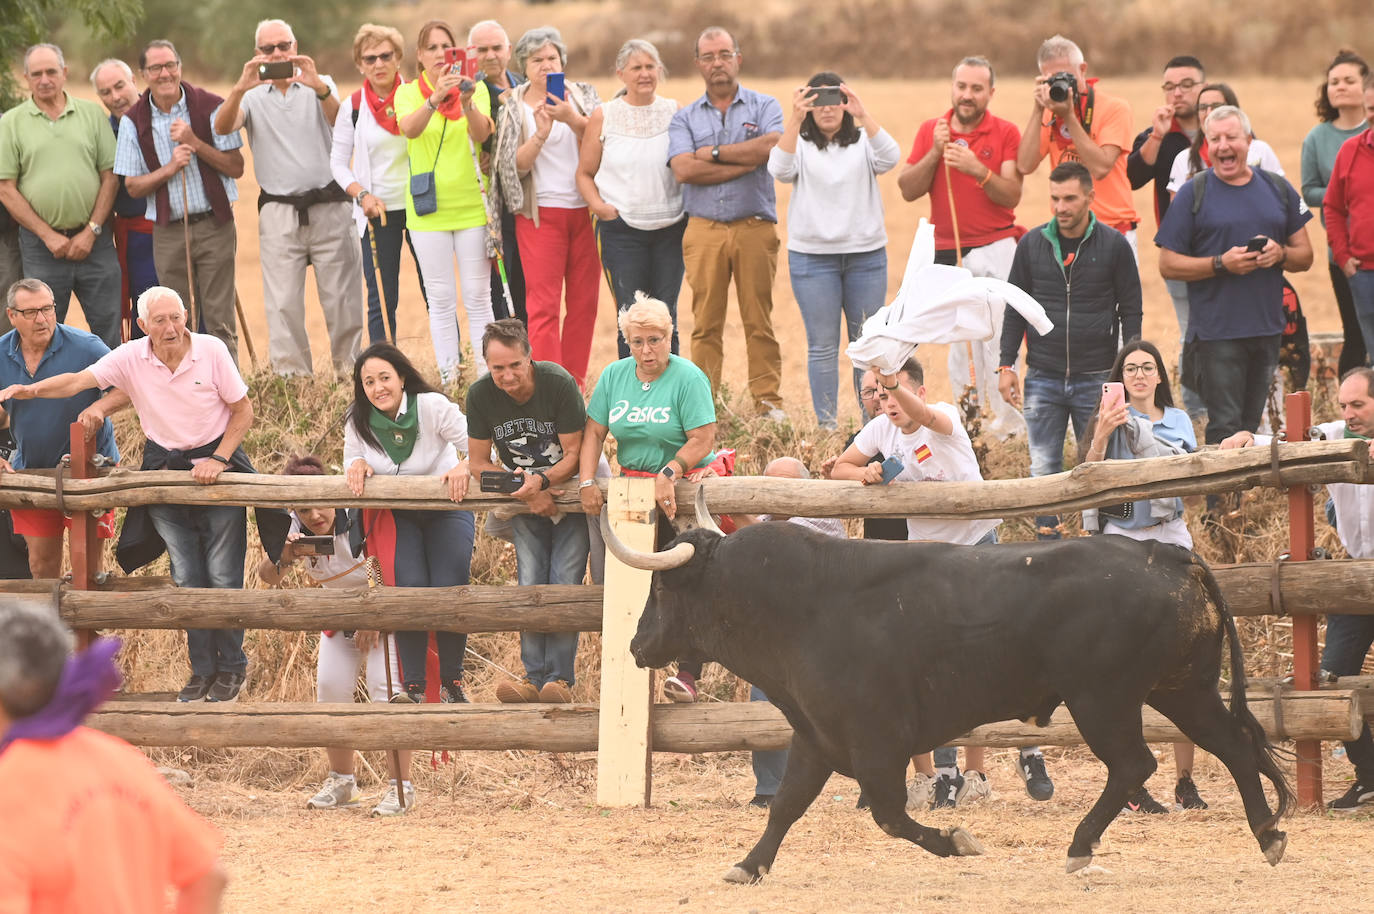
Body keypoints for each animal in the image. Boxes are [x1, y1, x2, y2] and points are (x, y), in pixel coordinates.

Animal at [618, 525, 1291, 879]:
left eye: (662, 588)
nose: (636, 643)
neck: (801, 604)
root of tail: (1172, 554)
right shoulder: (816, 735)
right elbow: (785, 805)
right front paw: (748, 865)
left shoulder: (877, 743)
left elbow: (890, 815)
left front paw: (959, 841)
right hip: (1184, 690)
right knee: (1234, 747)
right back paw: (1267, 835)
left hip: (1103, 701)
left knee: (1135, 764)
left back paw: (1079, 847)